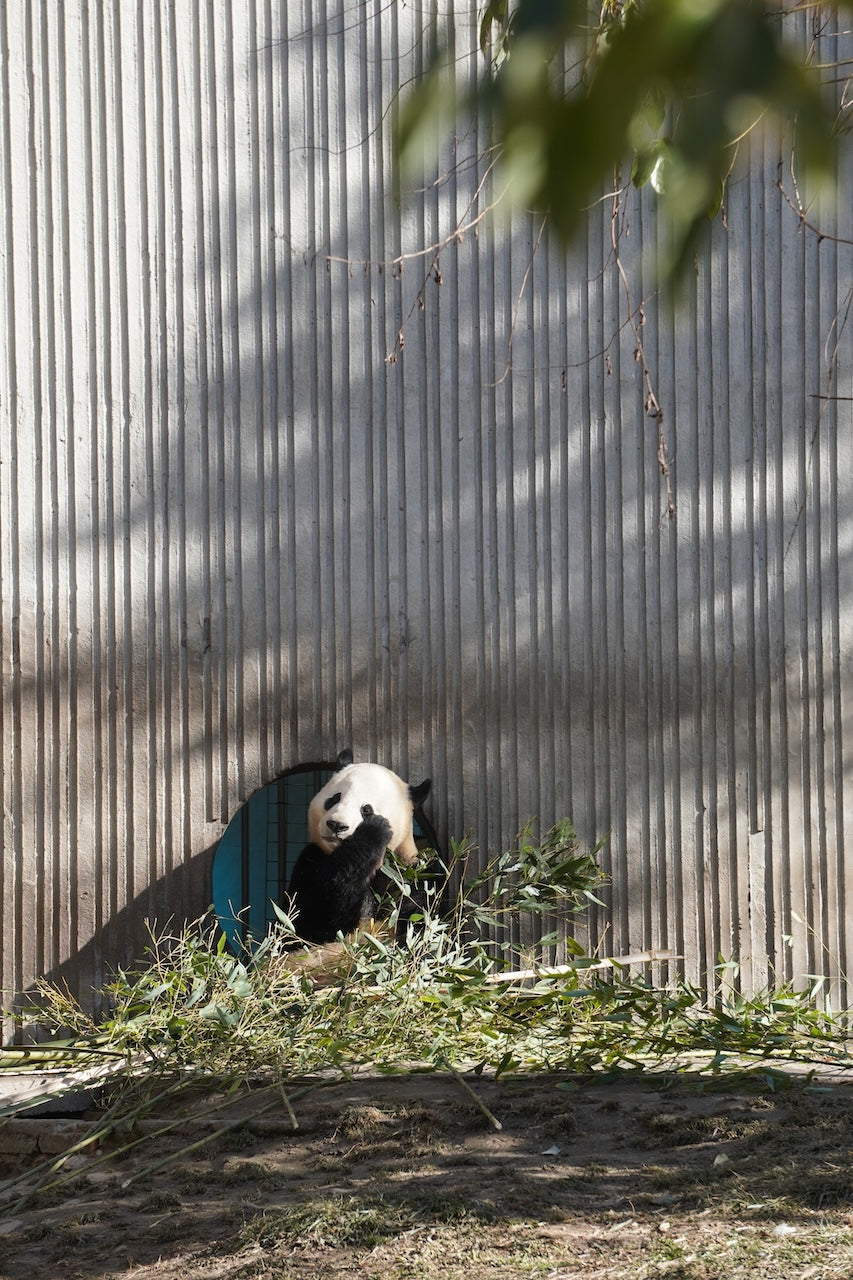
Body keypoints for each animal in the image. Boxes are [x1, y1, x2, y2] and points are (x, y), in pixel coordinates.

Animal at [286, 747, 432, 947]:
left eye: (366, 809)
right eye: (334, 799)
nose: (336, 825)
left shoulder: (416, 868)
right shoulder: (310, 861)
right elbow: (308, 925)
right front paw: (373, 832)